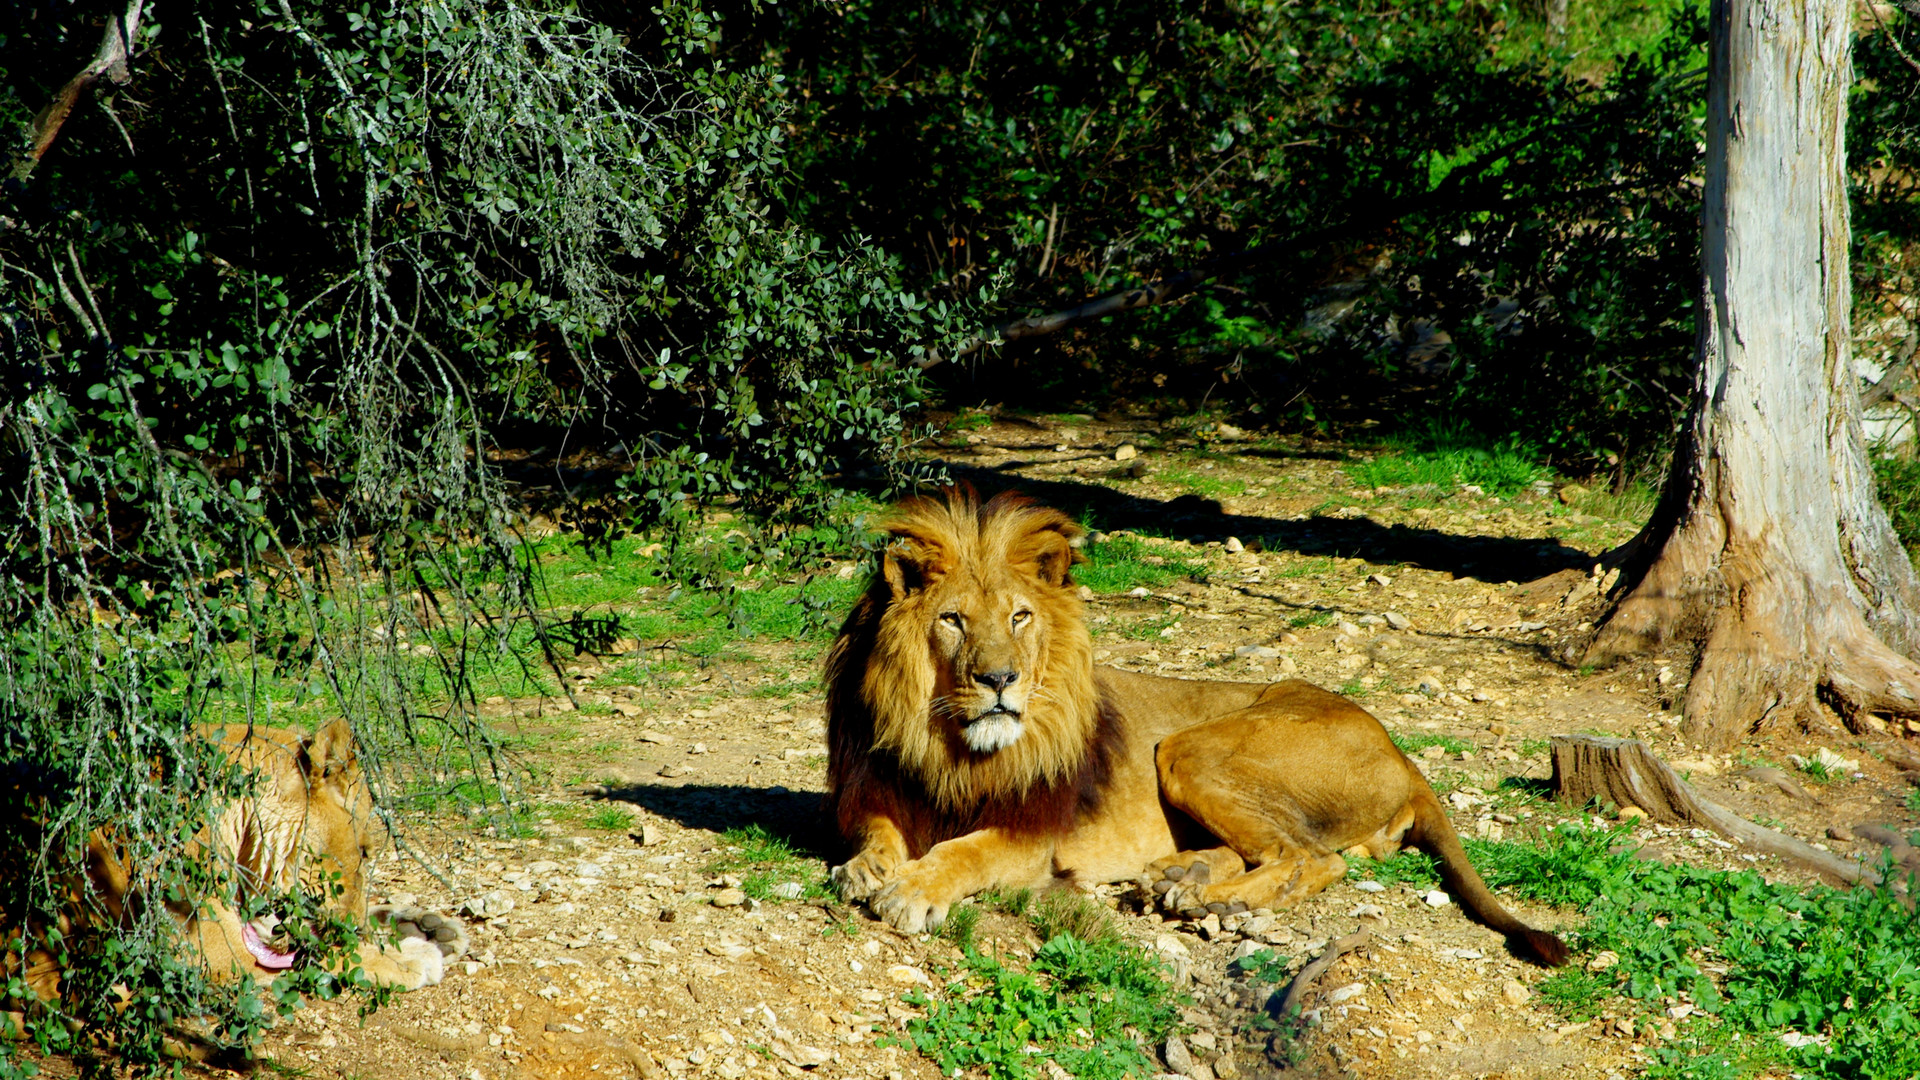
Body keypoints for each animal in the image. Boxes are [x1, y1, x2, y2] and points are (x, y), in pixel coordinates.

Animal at [821, 491, 1559, 960]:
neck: (944, 742)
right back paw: (1178, 877)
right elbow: (877, 830)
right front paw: (865, 868)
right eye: (953, 620)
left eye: (1020, 616)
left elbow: (963, 852)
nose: (1000, 680)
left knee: (1311, 857)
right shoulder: (878, 788)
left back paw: (1212, 903)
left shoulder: (1031, 838)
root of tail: (1402, 753)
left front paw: (911, 891)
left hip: (1189, 748)